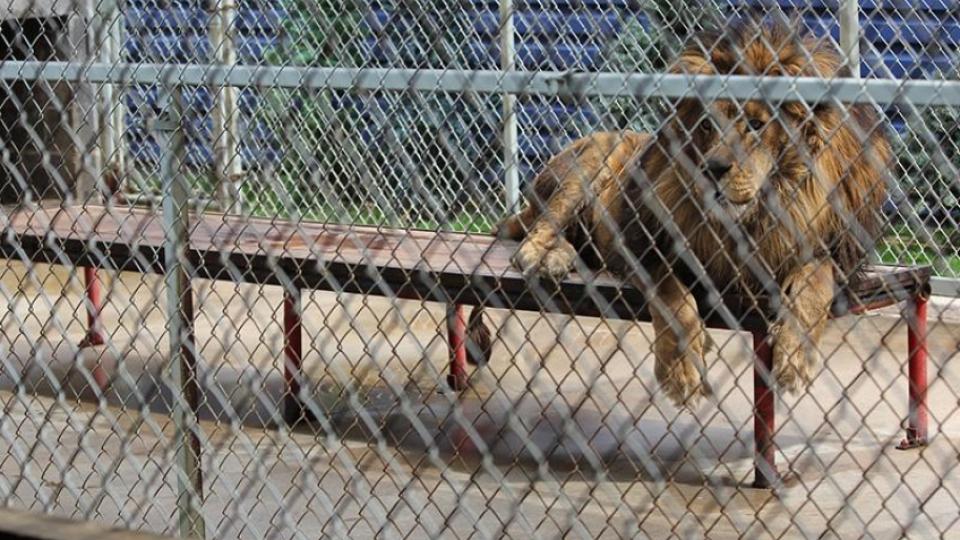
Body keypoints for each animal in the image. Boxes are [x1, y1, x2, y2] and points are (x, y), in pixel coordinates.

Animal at [464, 22, 892, 410]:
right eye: (707, 125)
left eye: (756, 124)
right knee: (538, 228)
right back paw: (542, 255)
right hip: (591, 158)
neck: (759, 215)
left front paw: (795, 359)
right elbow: (673, 300)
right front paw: (682, 373)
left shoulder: (833, 252)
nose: (712, 168)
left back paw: (561, 257)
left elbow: (814, 287)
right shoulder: (646, 244)